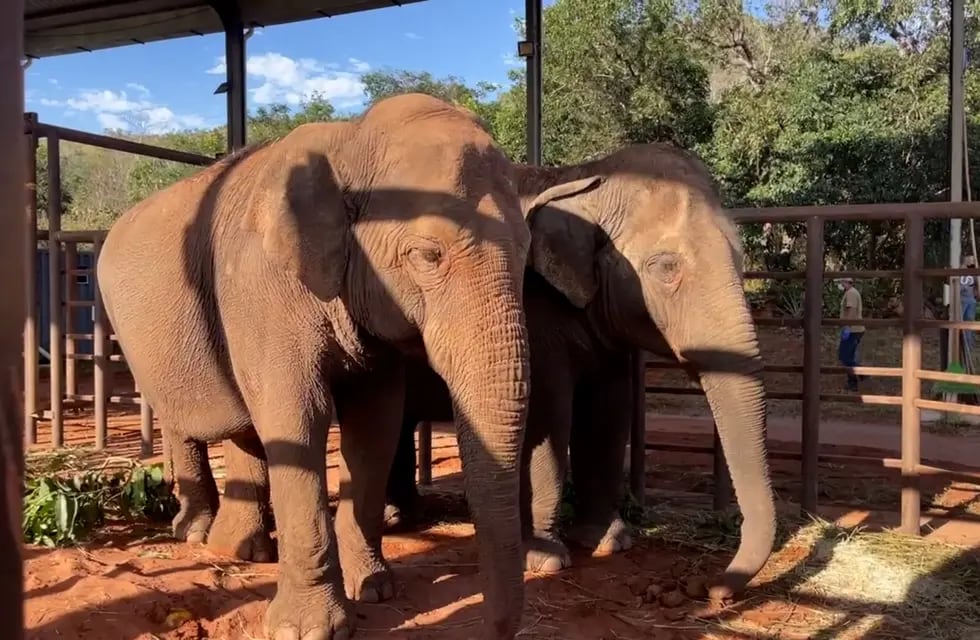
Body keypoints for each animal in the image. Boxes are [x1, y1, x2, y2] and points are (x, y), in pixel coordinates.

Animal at [95, 94, 532, 640]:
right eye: (428, 255)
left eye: (527, 250)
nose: (491, 627)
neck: (353, 139)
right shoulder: (263, 289)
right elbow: (296, 421)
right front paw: (306, 630)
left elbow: (374, 426)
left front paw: (375, 589)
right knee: (183, 419)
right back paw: (196, 534)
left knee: (245, 426)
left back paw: (241, 550)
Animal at [378, 141, 776, 600]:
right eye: (665, 267)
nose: (709, 589)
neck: (584, 180)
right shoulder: (530, 310)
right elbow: (549, 418)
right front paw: (545, 559)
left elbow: (608, 413)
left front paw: (610, 542)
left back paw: (404, 516)